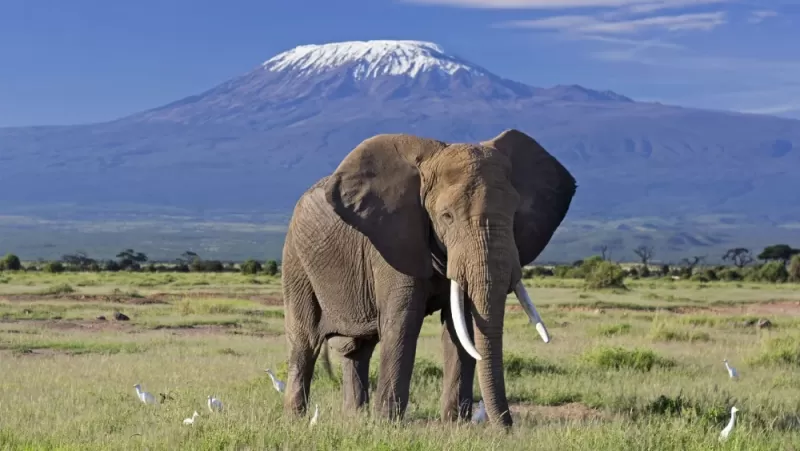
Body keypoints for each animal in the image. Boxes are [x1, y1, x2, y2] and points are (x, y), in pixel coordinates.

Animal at [280, 129, 576, 427]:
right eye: (447, 216)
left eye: (515, 214)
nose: (507, 429)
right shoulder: (393, 241)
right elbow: (403, 323)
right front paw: (388, 425)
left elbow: (460, 327)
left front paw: (456, 426)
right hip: (296, 260)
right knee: (305, 341)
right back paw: (296, 419)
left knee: (358, 348)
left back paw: (355, 418)